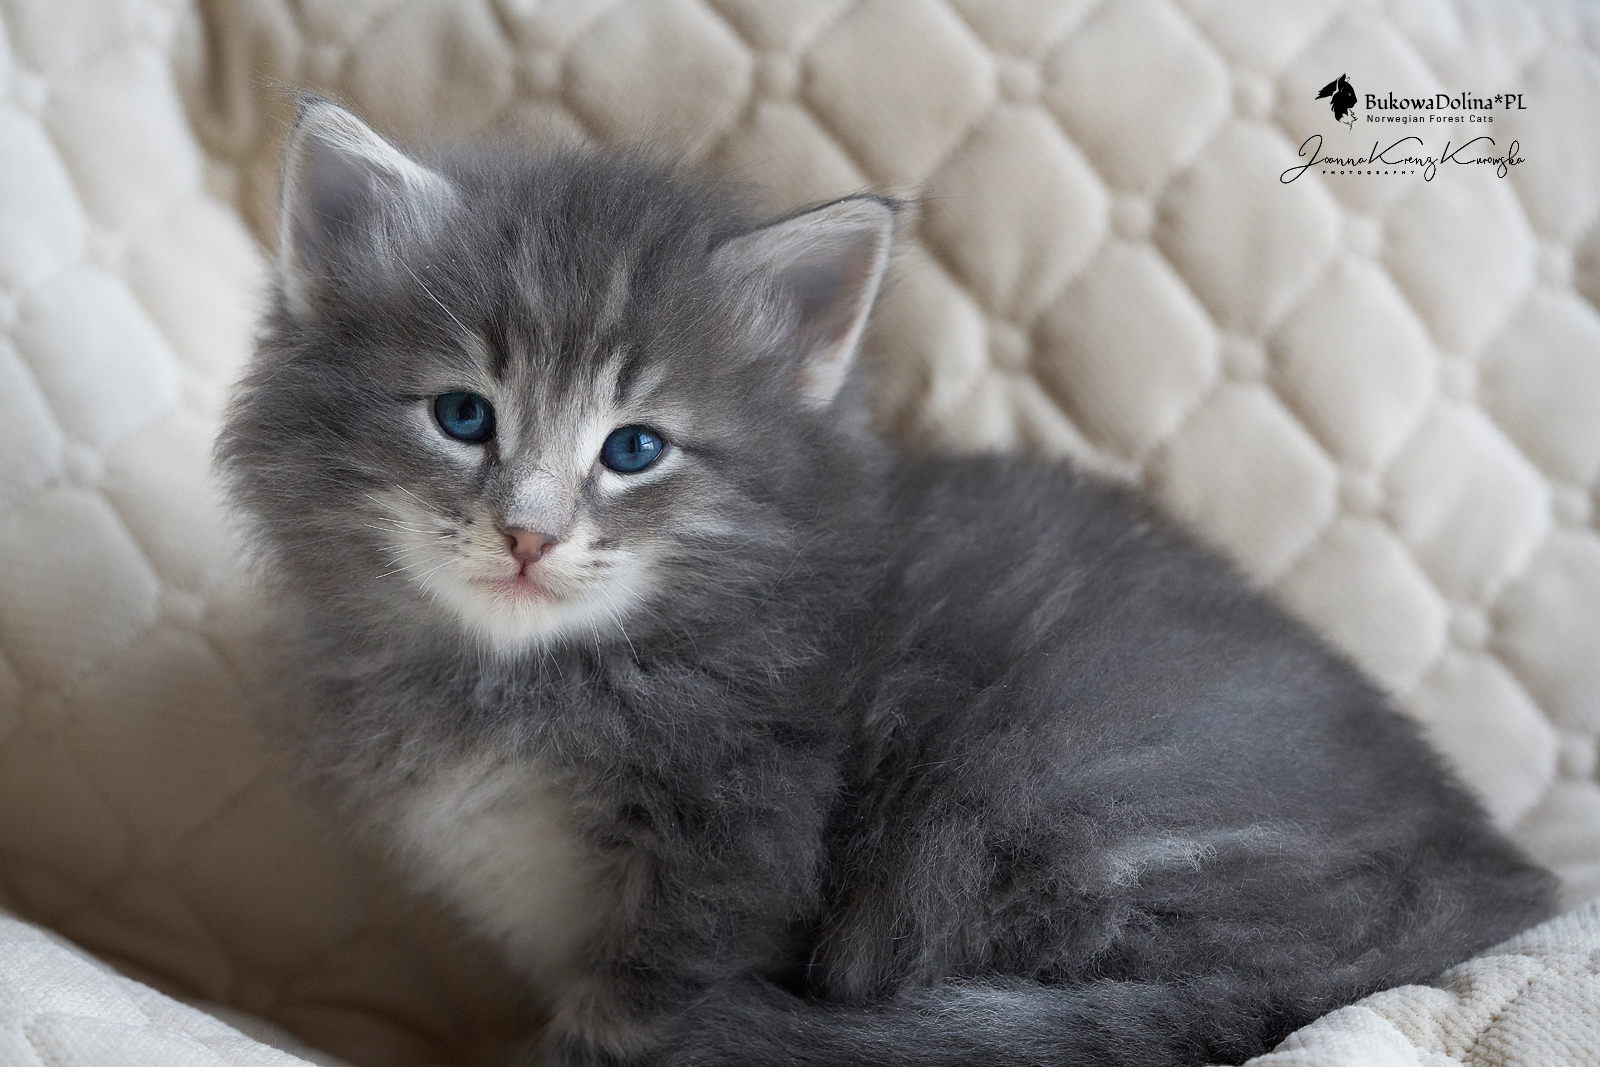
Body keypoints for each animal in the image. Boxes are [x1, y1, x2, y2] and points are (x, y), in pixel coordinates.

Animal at [217, 97, 1557, 1067]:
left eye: (633, 448)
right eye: (461, 416)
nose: (527, 535)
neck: (524, 679)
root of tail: (1487, 886)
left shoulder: (726, 870)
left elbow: (634, 1012)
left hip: (1038, 800)